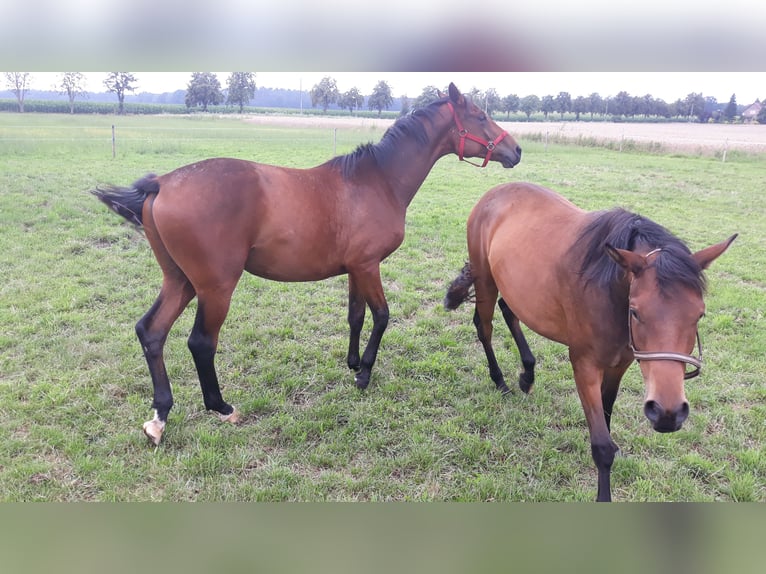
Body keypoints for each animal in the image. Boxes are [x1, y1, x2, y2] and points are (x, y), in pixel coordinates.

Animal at [91, 82, 522, 446]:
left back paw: (160, 416)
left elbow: (356, 316)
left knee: (151, 332)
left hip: (179, 280)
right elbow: (382, 316)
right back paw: (221, 407)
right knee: (200, 342)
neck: (377, 181)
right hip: (215, 287)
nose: (516, 151)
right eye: (480, 115)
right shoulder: (369, 266)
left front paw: (352, 363)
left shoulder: (356, 269)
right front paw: (364, 373)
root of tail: (162, 183)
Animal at [444, 182, 736, 501]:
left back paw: (527, 374)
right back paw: (500, 381)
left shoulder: (619, 365)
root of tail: (494, 193)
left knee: (509, 311)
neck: (606, 289)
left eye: (699, 314)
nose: (667, 413)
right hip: (485, 280)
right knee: (484, 327)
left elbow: (606, 420)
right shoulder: (584, 366)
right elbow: (602, 446)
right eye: (636, 311)